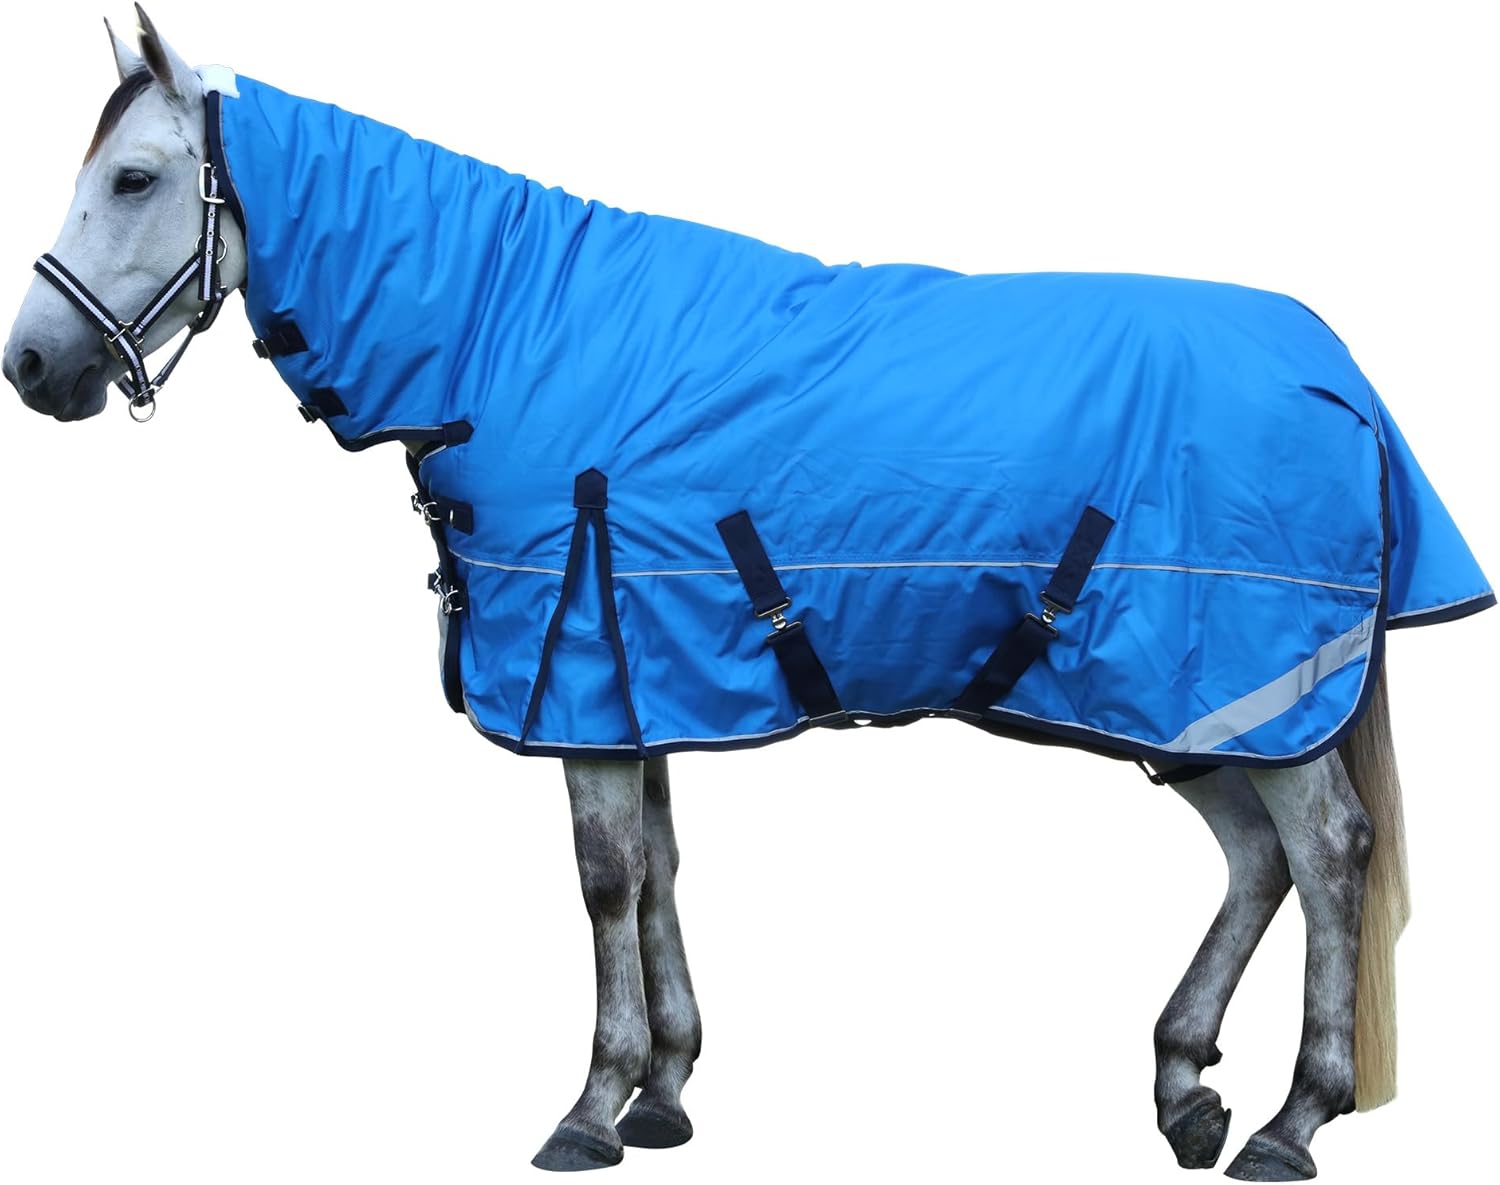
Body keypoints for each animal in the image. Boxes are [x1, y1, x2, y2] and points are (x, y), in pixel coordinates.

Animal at [4, 10, 1492, 1180]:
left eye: (132, 177)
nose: (32, 367)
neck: (510, 330)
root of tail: (1337, 373)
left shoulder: (584, 670)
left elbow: (605, 879)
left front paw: (592, 1104)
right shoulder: (635, 672)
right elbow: (658, 867)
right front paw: (666, 1089)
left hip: (1242, 679)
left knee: (1329, 851)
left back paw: (1294, 1121)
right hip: (1193, 704)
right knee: (1257, 859)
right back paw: (1185, 1084)